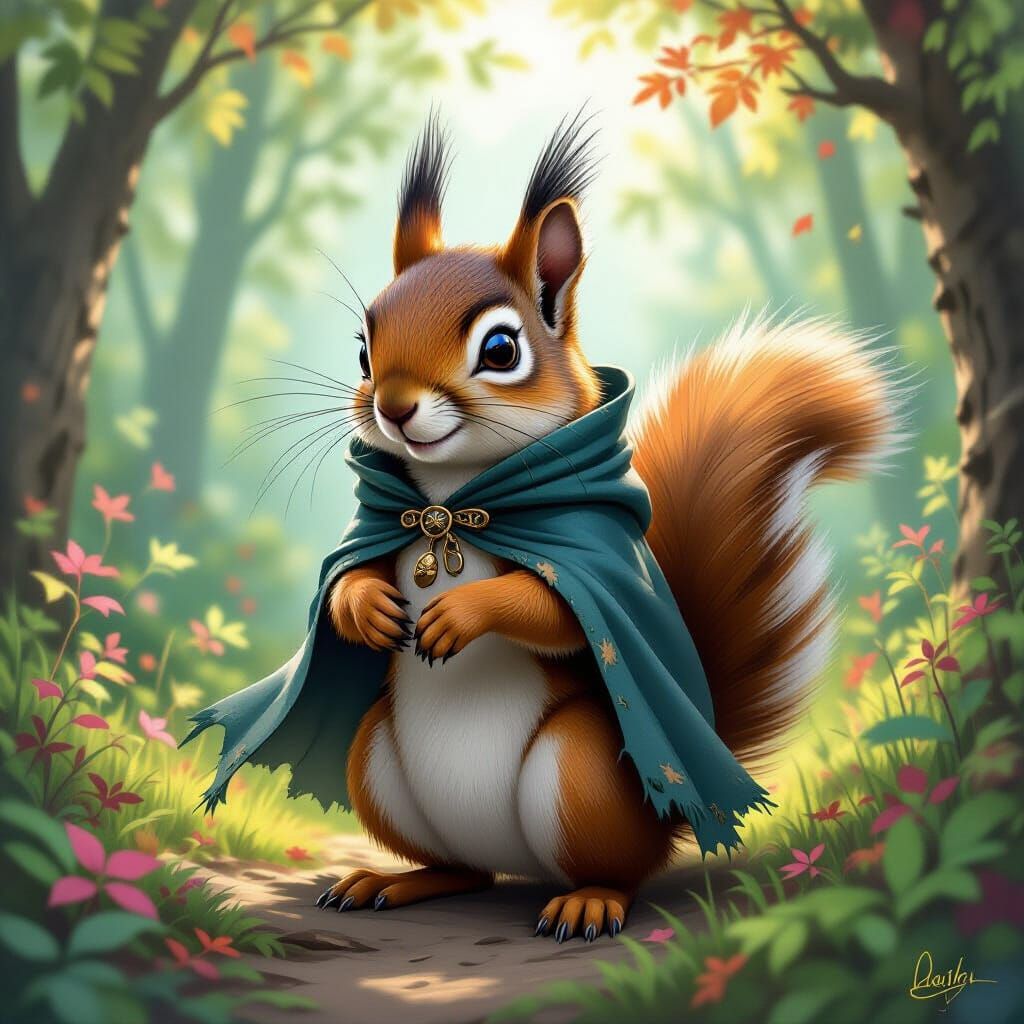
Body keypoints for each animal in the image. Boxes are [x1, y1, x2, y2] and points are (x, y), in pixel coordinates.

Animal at [313, 113, 900, 942]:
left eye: (501, 349)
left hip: (580, 771)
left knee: (618, 872)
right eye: (364, 350)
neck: (452, 507)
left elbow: (555, 611)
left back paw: (588, 902)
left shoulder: (592, 555)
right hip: (375, 760)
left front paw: (461, 613)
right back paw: (395, 881)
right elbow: (350, 577)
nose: (392, 407)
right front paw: (366, 607)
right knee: (462, 870)